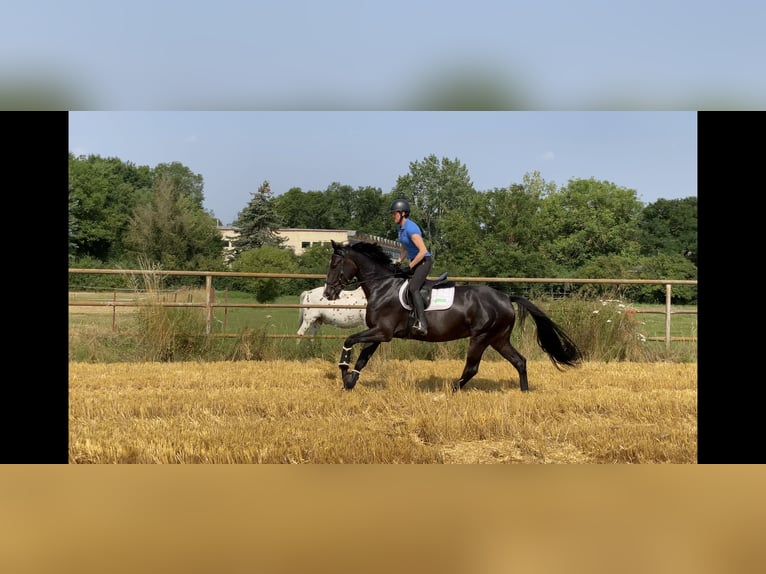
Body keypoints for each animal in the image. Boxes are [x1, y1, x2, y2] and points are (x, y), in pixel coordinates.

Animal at [322, 241, 584, 394]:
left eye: (334, 264)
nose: (328, 293)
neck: (383, 286)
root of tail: (505, 297)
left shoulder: (382, 332)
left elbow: (349, 340)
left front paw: (343, 371)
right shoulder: (378, 333)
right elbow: (362, 359)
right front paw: (349, 383)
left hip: (481, 337)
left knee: (472, 368)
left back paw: (449, 391)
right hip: (498, 339)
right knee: (519, 361)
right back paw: (524, 392)